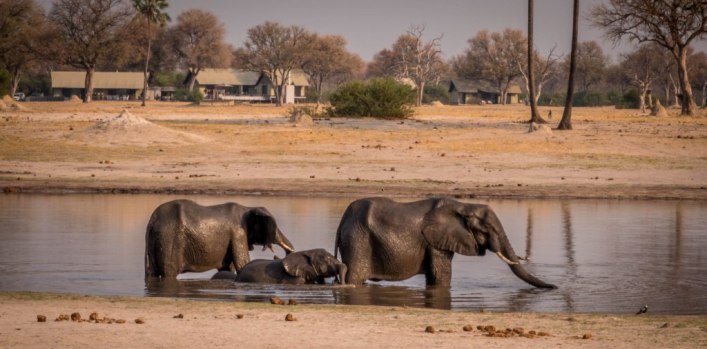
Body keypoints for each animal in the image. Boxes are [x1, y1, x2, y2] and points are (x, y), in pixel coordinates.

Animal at [147, 200, 296, 278]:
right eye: (274, 228)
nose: (276, 256)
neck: (248, 208)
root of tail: (153, 221)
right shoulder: (238, 233)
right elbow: (242, 263)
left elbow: (227, 267)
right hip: (169, 239)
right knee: (169, 271)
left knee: (151, 272)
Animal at [334, 196, 556, 288]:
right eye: (487, 230)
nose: (554, 287)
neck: (464, 205)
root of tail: (343, 218)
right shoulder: (436, 242)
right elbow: (441, 275)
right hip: (357, 239)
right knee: (354, 276)